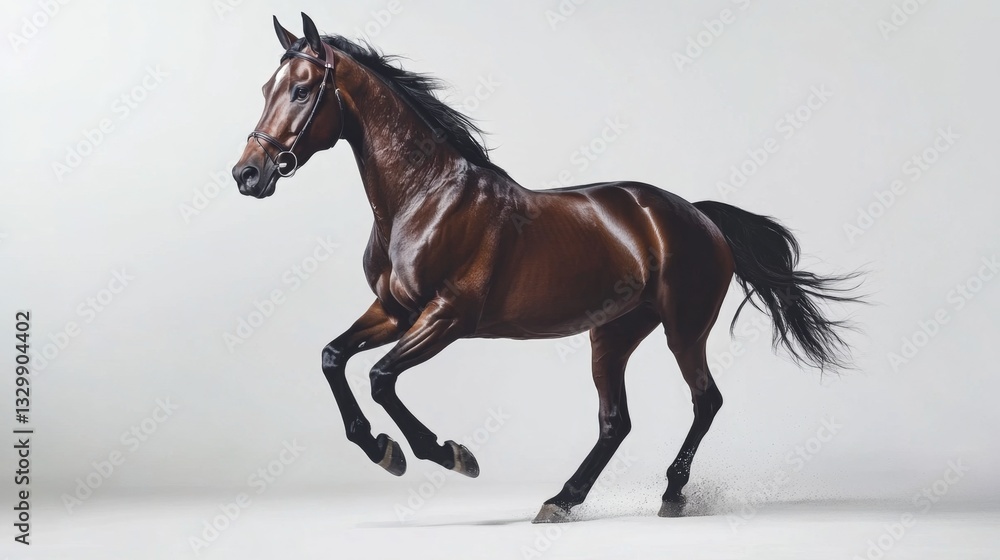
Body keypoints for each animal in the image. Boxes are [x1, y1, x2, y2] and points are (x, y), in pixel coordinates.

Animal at [232, 13, 863, 522]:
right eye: (267, 87)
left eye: (302, 89)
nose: (248, 174)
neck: (425, 197)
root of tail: (699, 215)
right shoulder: (394, 310)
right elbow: (333, 358)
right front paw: (381, 449)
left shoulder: (448, 316)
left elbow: (382, 378)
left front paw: (449, 455)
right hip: (613, 334)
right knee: (616, 422)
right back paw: (562, 499)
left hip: (683, 327)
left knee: (705, 401)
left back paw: (671, 494)